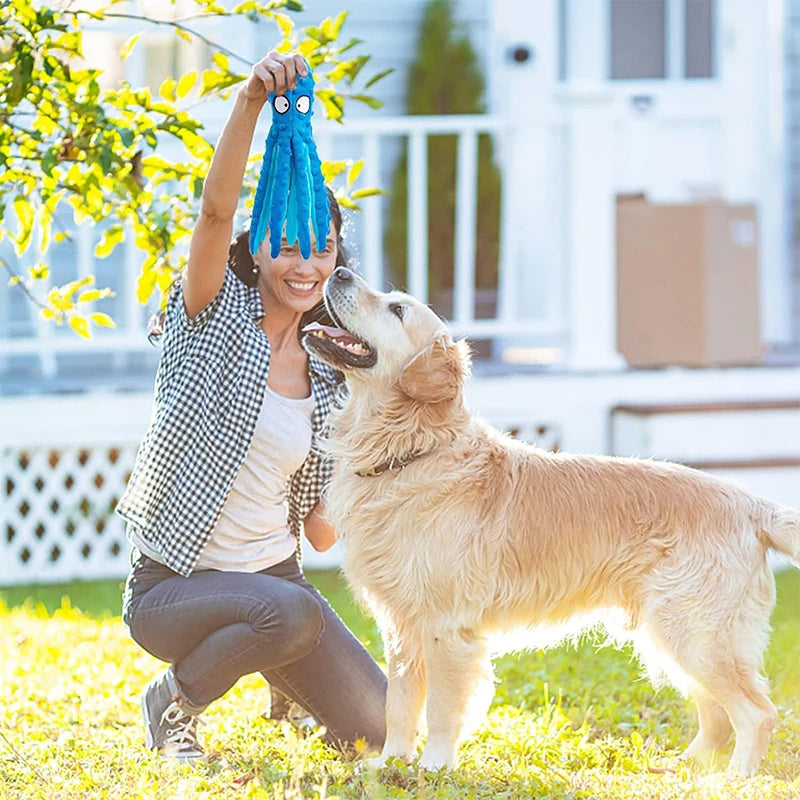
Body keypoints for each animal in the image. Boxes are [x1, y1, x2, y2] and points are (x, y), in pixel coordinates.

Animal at [302, 268, 800, 776]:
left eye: (397, 309)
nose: (339, 271)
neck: (412, 449)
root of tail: (752, 504)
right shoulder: (401, 628)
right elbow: (398, 704)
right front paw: (390, 763)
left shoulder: (446, 627)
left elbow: (440, 710)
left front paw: (434, 767)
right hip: (672, 635)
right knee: (717, 716)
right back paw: (683, 769)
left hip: (695, 634)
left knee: (756, 713)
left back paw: (733, 779)